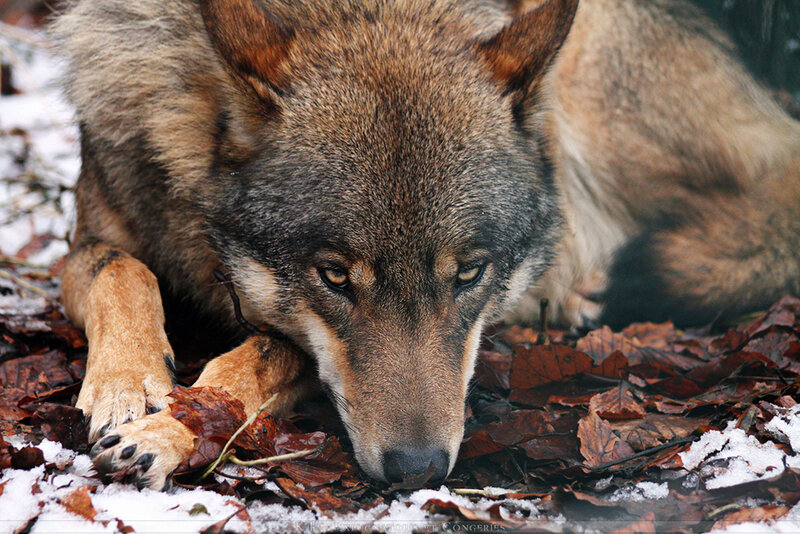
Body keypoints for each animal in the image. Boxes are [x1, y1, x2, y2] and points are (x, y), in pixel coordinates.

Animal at [52, 0, 800, 489]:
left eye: (468, 274)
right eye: (335, 277)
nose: (419, 471)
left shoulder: (293, 341)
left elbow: (257, 358)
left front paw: (164, 431)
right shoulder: (88, 240)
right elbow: (121, 272)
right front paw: (126, 385)